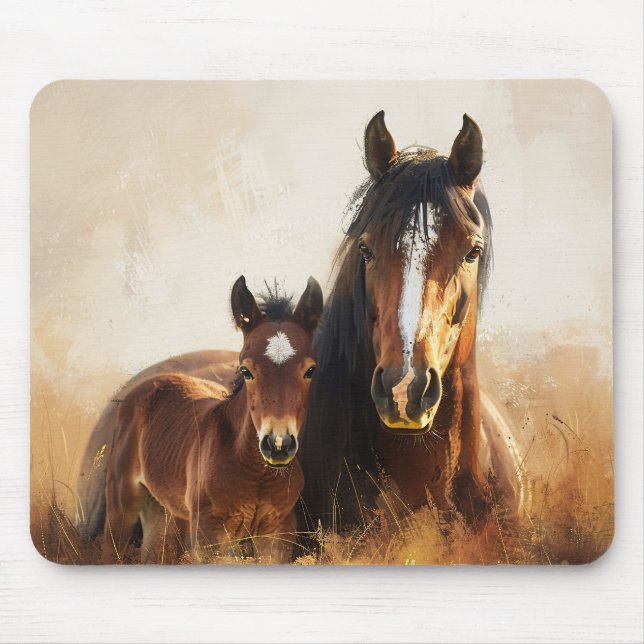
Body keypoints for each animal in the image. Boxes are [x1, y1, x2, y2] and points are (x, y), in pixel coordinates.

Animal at [101, 275, 323, 563]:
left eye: (310, 370)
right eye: (246, 370)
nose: (278, 445)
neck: (256, 474)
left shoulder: (278, 532)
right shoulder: (209, 534)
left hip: (163, 510)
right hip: (122, 502)